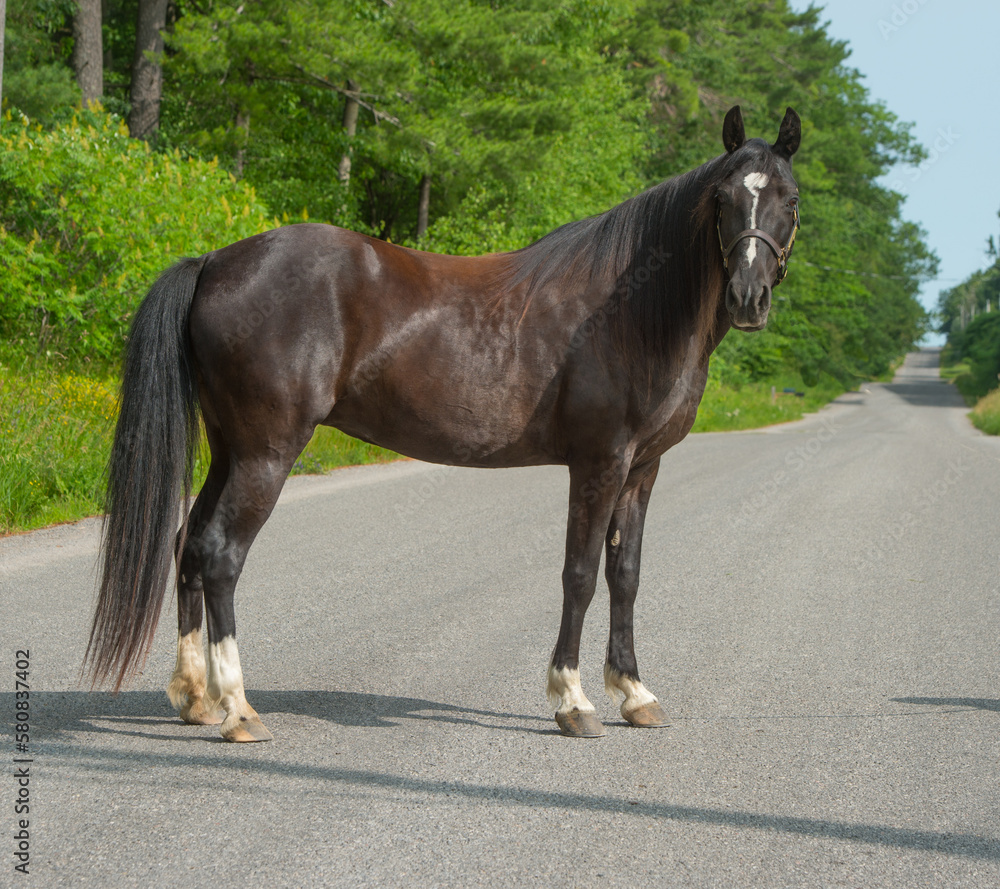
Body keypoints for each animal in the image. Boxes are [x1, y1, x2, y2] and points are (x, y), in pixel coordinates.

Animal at [85, 105, 801, 740]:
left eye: (789, 200)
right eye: (723, 198)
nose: (748, 298)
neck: (630, 311)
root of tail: (213, 263)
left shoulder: (643, 467)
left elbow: (624, 576)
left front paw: (635, 693)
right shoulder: (600, 462)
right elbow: (578, 574)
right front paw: (573, 701)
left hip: (230, 448)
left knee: (187, 544)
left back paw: (196, 698)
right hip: (267, 452)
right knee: (220, 554)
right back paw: (239, 711)